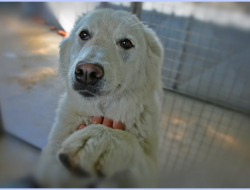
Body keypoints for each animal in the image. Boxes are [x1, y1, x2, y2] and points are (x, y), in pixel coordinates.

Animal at [35, 8, 164, 188]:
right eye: (84, 35)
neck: (102, 111)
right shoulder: (47, 164)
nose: (87, 72)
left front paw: (98, 142)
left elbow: (130, 141)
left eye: (126, 43)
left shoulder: (151, 172)